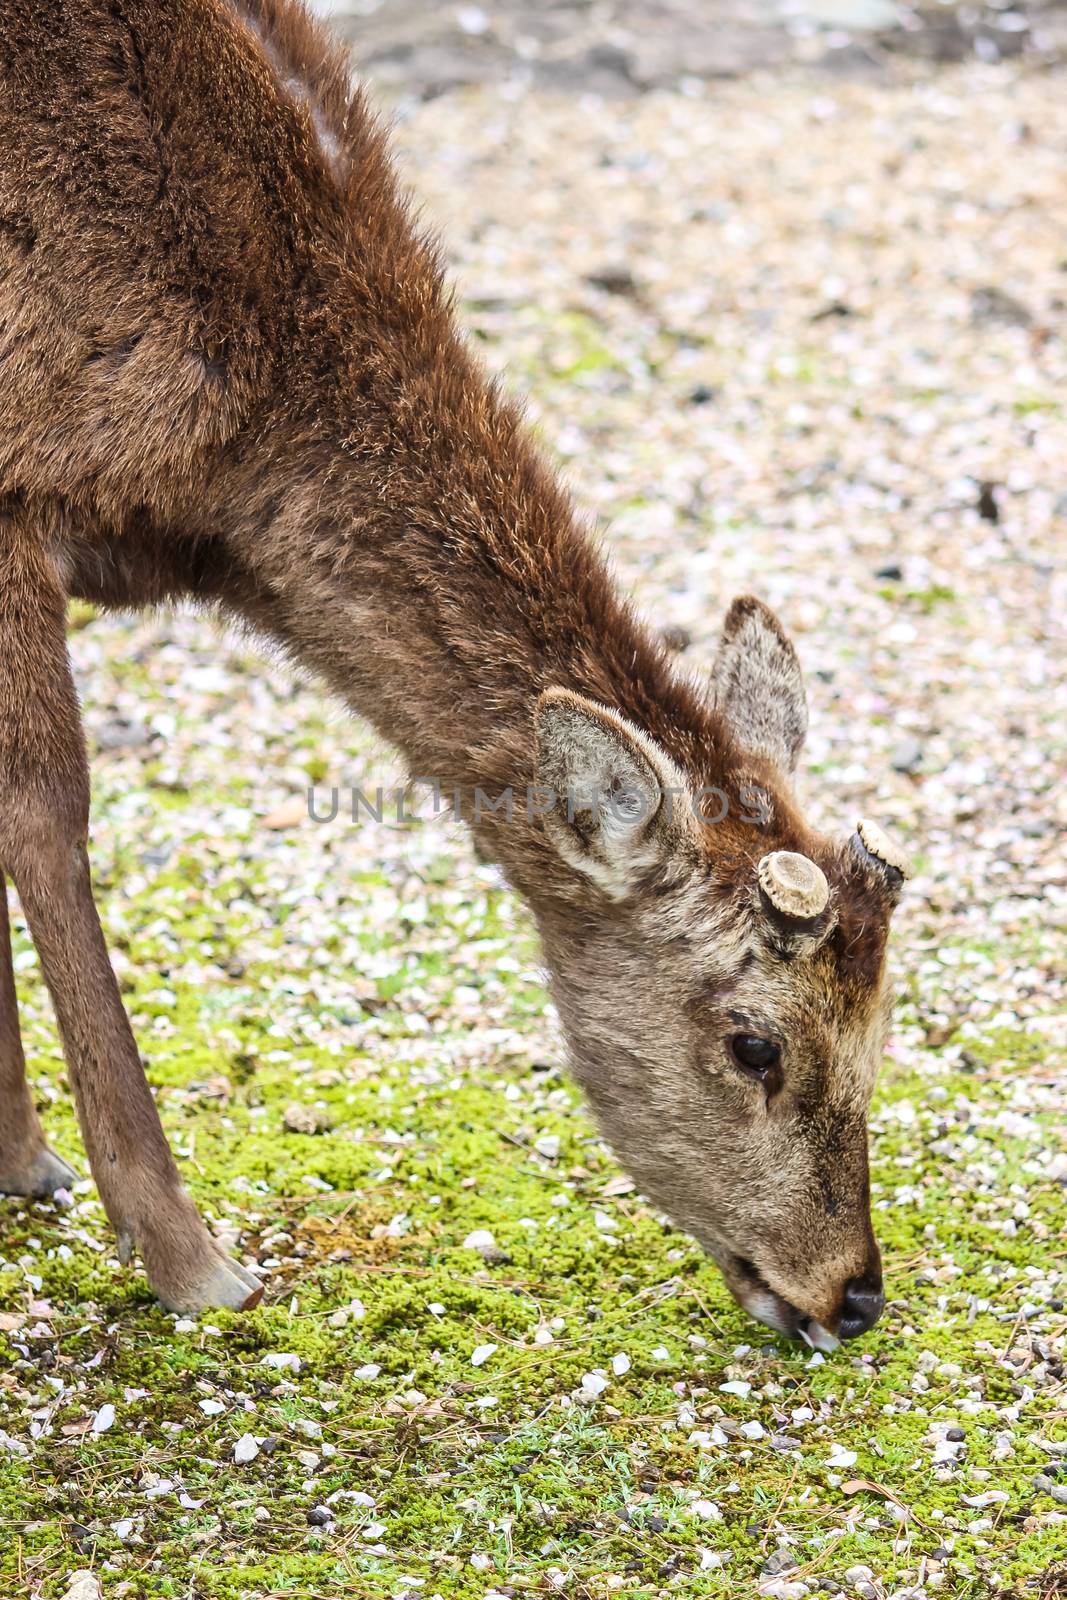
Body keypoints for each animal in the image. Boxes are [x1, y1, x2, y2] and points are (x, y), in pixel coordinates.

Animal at [0, 0, 915, 1344]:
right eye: (754, 1043)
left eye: (883, 1019)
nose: (850, 1293)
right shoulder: (17, 480)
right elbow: (43, 815)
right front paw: (180, 1248)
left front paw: (21, 1153)